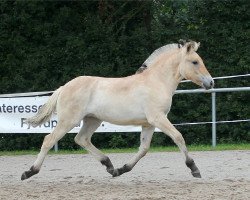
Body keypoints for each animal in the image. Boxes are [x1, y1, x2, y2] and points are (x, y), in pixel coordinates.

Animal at [21, 39, 215, 180]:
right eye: (195, 62)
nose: (211, 82)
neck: (156, 82)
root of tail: (64, 87)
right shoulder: (158, 118)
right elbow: (178, 137)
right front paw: (194, 169)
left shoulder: (149, 124)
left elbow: (143, 149)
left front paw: (122, 169)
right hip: (68, 120)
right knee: (49, 140)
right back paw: (29, 172)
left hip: (92, 120)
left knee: (81, 139)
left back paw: (109, 166)